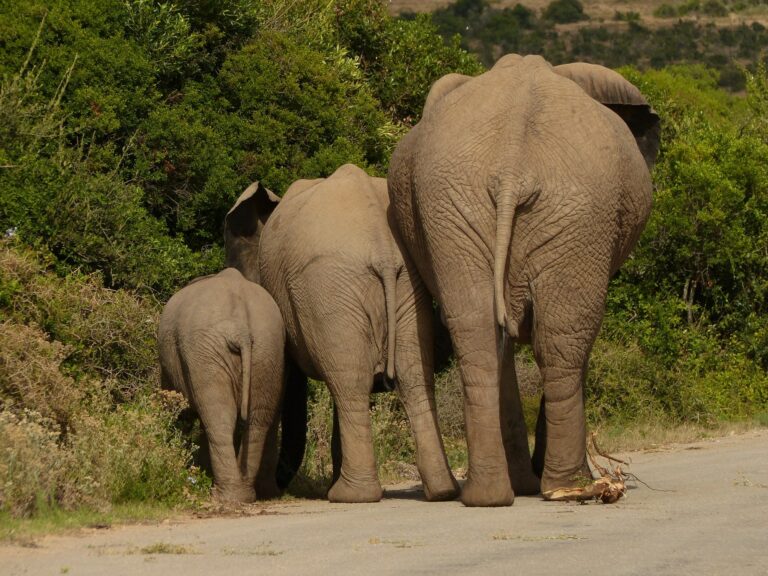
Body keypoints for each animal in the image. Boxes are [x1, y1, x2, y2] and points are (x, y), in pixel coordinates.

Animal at [159, 268, 288, 502]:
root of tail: (242, 331)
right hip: (268, 349)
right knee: (257, 419)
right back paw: (242, 496)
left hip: (207, 353)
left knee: (219, 417)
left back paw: (223, 497)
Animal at [225, 163, 460, 504]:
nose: (283, 485)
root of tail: (381, 245)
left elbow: (283, 380)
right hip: (405, 288)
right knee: (411, 378)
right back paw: (442, 491)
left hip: (328, 286)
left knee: (350, 384)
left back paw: (349, 495)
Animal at [390, 53, 660, 504]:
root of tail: (511, 166)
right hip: (579, 215)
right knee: (563, 339)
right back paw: (570, 485)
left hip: (458, 206)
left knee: (478, 332)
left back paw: (489, 495)